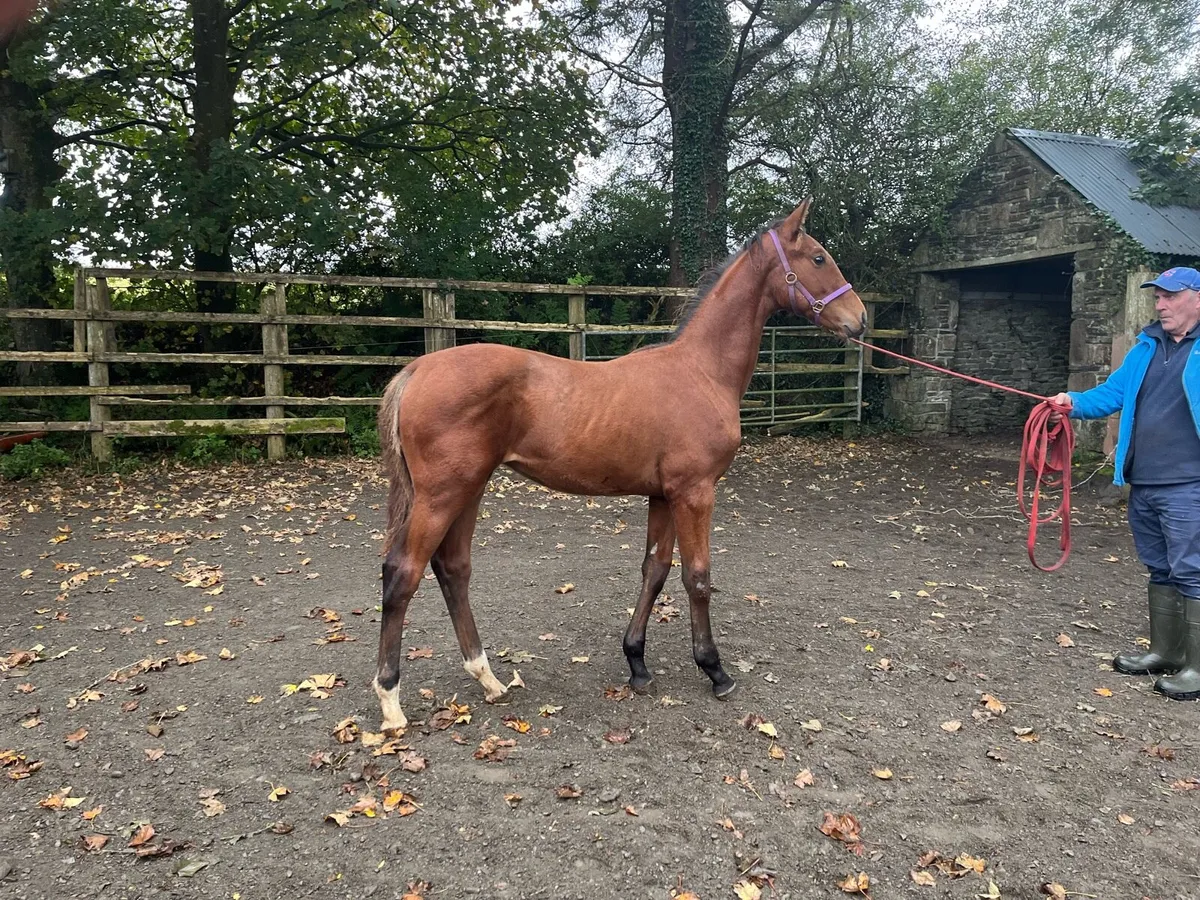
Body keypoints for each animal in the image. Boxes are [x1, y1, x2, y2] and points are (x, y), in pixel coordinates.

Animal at [372, 198, 867, 731]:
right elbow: (697, 576)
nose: (860, 320)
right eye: (818, 258)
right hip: (443, 494)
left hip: (470, 489)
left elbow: (655, 570)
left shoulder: (664, 494)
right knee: (402, 575)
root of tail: (417, 369)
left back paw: (489, 680)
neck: (701, 371)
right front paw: (715, 670)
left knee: (453, 569)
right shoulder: (696, 492)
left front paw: (637, 664)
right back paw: (391, 702)